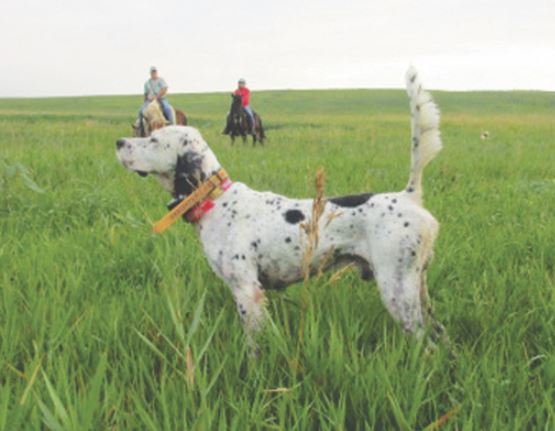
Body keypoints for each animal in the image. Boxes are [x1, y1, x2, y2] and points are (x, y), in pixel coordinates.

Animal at [116, 70, 448, 348]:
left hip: (398, 291)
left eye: (153, 139)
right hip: (417, 290)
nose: (119, 142)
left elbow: (253, 346)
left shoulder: (246, 289)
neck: (217, 199)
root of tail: (409, 196)